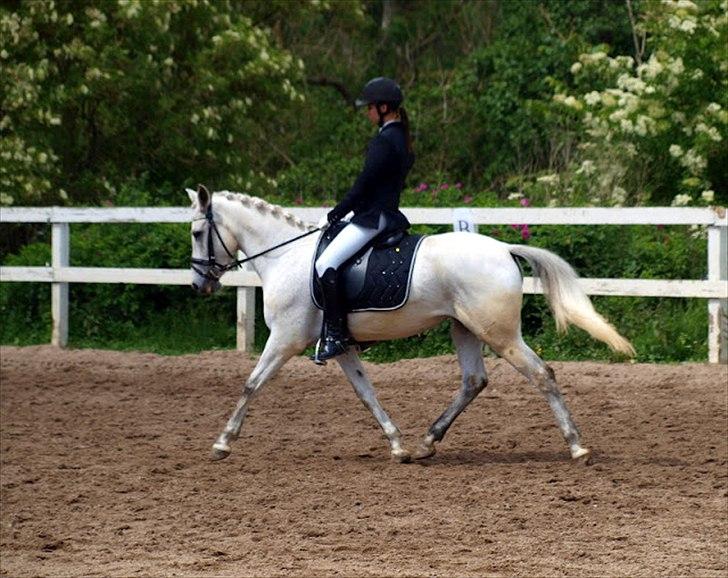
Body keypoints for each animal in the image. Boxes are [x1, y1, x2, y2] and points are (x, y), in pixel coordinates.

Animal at [189, 186, 636, 464]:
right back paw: (426, 443)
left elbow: (251, 384)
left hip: (499, 333)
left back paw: (577, 447)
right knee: (474, 381)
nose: (199, 284)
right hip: (464, 328)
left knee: (542, 374)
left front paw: (222, 443)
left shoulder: (284, 339)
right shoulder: (340, 344)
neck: (286, 257)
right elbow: (366, 394)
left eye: (195, 232)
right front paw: (397, 445)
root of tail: (504, 249)